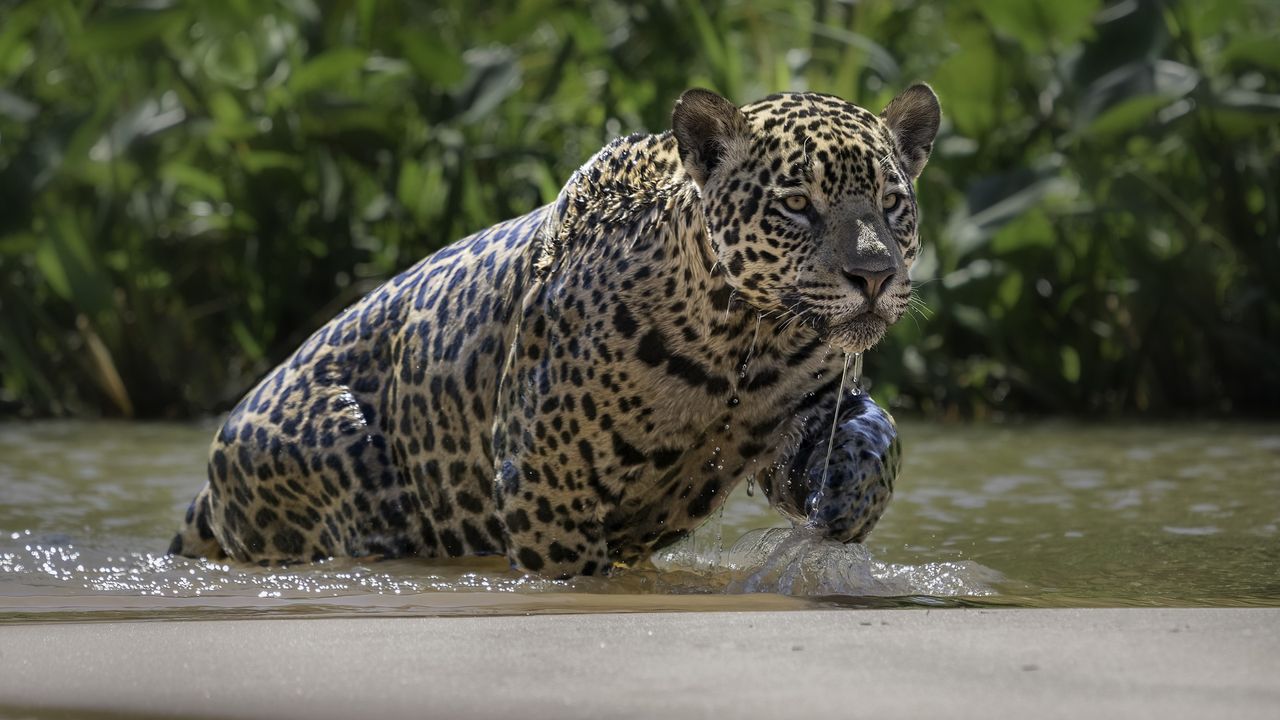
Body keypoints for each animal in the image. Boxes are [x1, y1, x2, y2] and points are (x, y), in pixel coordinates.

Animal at [168, 85, 941, 578]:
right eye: (798, 205)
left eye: (891, 202)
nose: (874, 276)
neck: (739, 341)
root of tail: (216, 456)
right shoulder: (547, 482)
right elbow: (570, 572)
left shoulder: (798, 406)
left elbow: (880, 432)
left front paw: (843, 499)